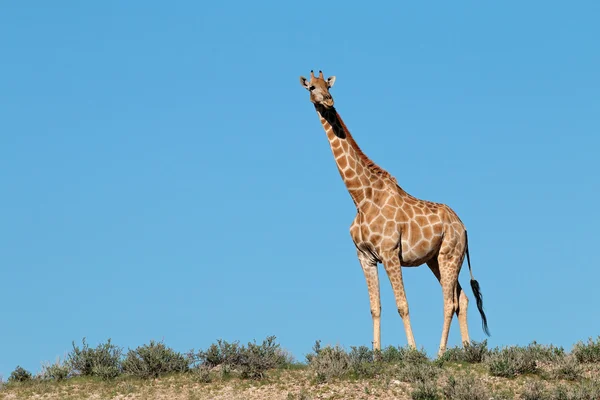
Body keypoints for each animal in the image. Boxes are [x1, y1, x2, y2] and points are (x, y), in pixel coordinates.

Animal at [298, 69, 490, 356]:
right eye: (312, 87)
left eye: (328, 86)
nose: (329, 101)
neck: (361, 197)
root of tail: (464, 227)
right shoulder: (365, 256)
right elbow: (374, 307)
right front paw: (376, 355)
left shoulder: (390, 252)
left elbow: (403, 305)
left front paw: (412, 352)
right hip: (436, 259)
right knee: (463, 298)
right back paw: (468, 351)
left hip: (449, 254)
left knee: (450, 302)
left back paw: (440, 354)